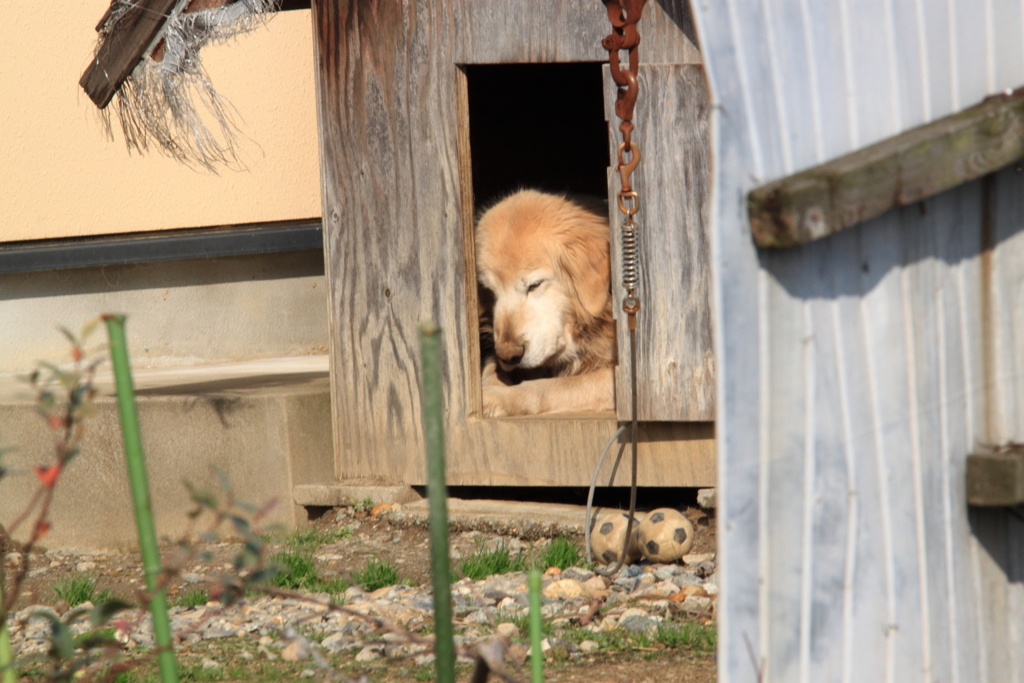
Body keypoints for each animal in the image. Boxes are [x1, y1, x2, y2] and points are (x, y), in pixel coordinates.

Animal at [473, 188, 614, 417]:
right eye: (491, 292)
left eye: (534, 285)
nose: (508, 356)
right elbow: (491, 366)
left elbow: (550, 388)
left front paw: (502, 396)